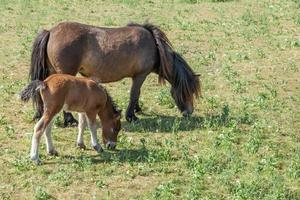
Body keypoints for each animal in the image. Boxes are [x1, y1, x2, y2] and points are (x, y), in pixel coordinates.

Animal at [30, 22, 200, 125]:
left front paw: (137, 110)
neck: (155, 46)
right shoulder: (140, 76)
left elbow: (136, 94)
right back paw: (70, 120)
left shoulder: (137, 77)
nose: (189, 112)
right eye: (188, 91)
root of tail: (51, 32)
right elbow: (134, 94)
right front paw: (131, 116)